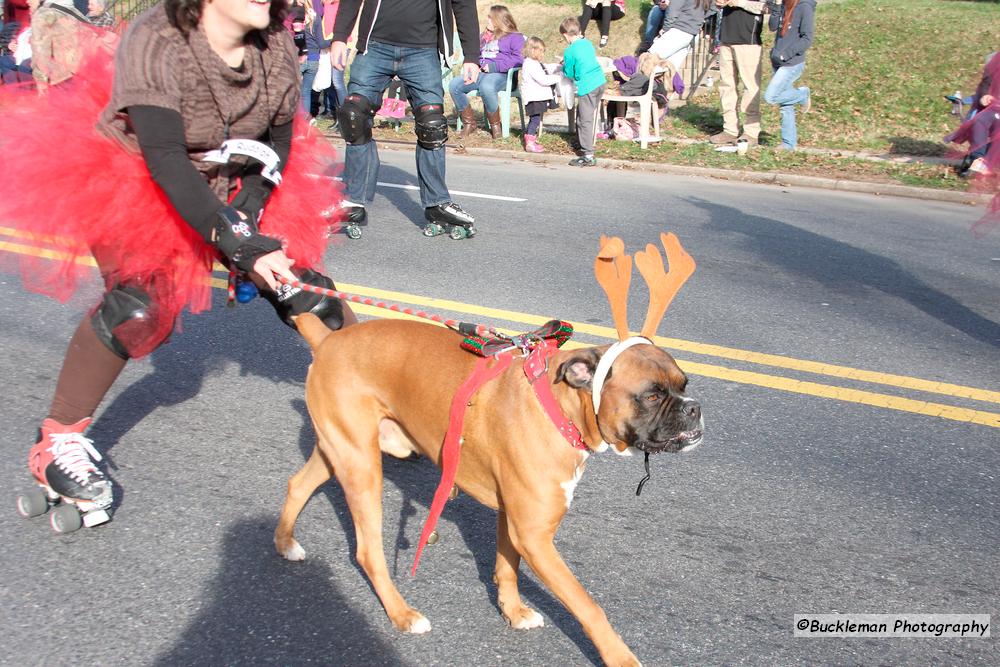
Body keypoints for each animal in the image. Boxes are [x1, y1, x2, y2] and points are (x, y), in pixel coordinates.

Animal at [274, 235, 704, 667]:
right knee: (367, 551)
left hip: (341, 451)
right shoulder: (534, 534)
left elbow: (507, 566)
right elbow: (587, 605)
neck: (560, 407)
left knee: (298, 484)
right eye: (651, 395)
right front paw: (620, 657)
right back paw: (403, 614)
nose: (694, 408)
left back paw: (285, 543)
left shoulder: (513, 521)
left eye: (683, 384)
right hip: (363, 468)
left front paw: (513, 612)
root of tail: (328, 338)